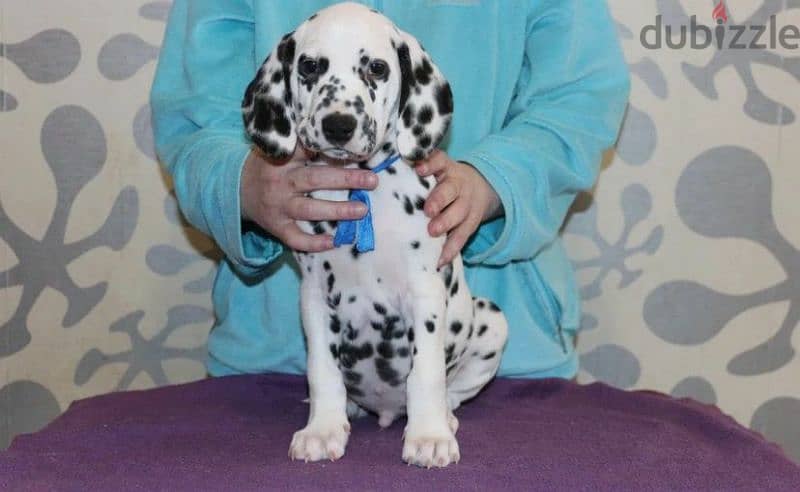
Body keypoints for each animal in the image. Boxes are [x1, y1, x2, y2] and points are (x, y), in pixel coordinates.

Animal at [241, 1, 510, 468]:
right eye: (309, 66)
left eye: (377, 68)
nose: (339, 125)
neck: (363, 190)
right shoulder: (314, 297)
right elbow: (322, 372)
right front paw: (323, 429)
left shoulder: (424, 293)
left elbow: (426, 374)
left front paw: (429, 436)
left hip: (493, 322)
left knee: (454, 391)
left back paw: (444, 418)